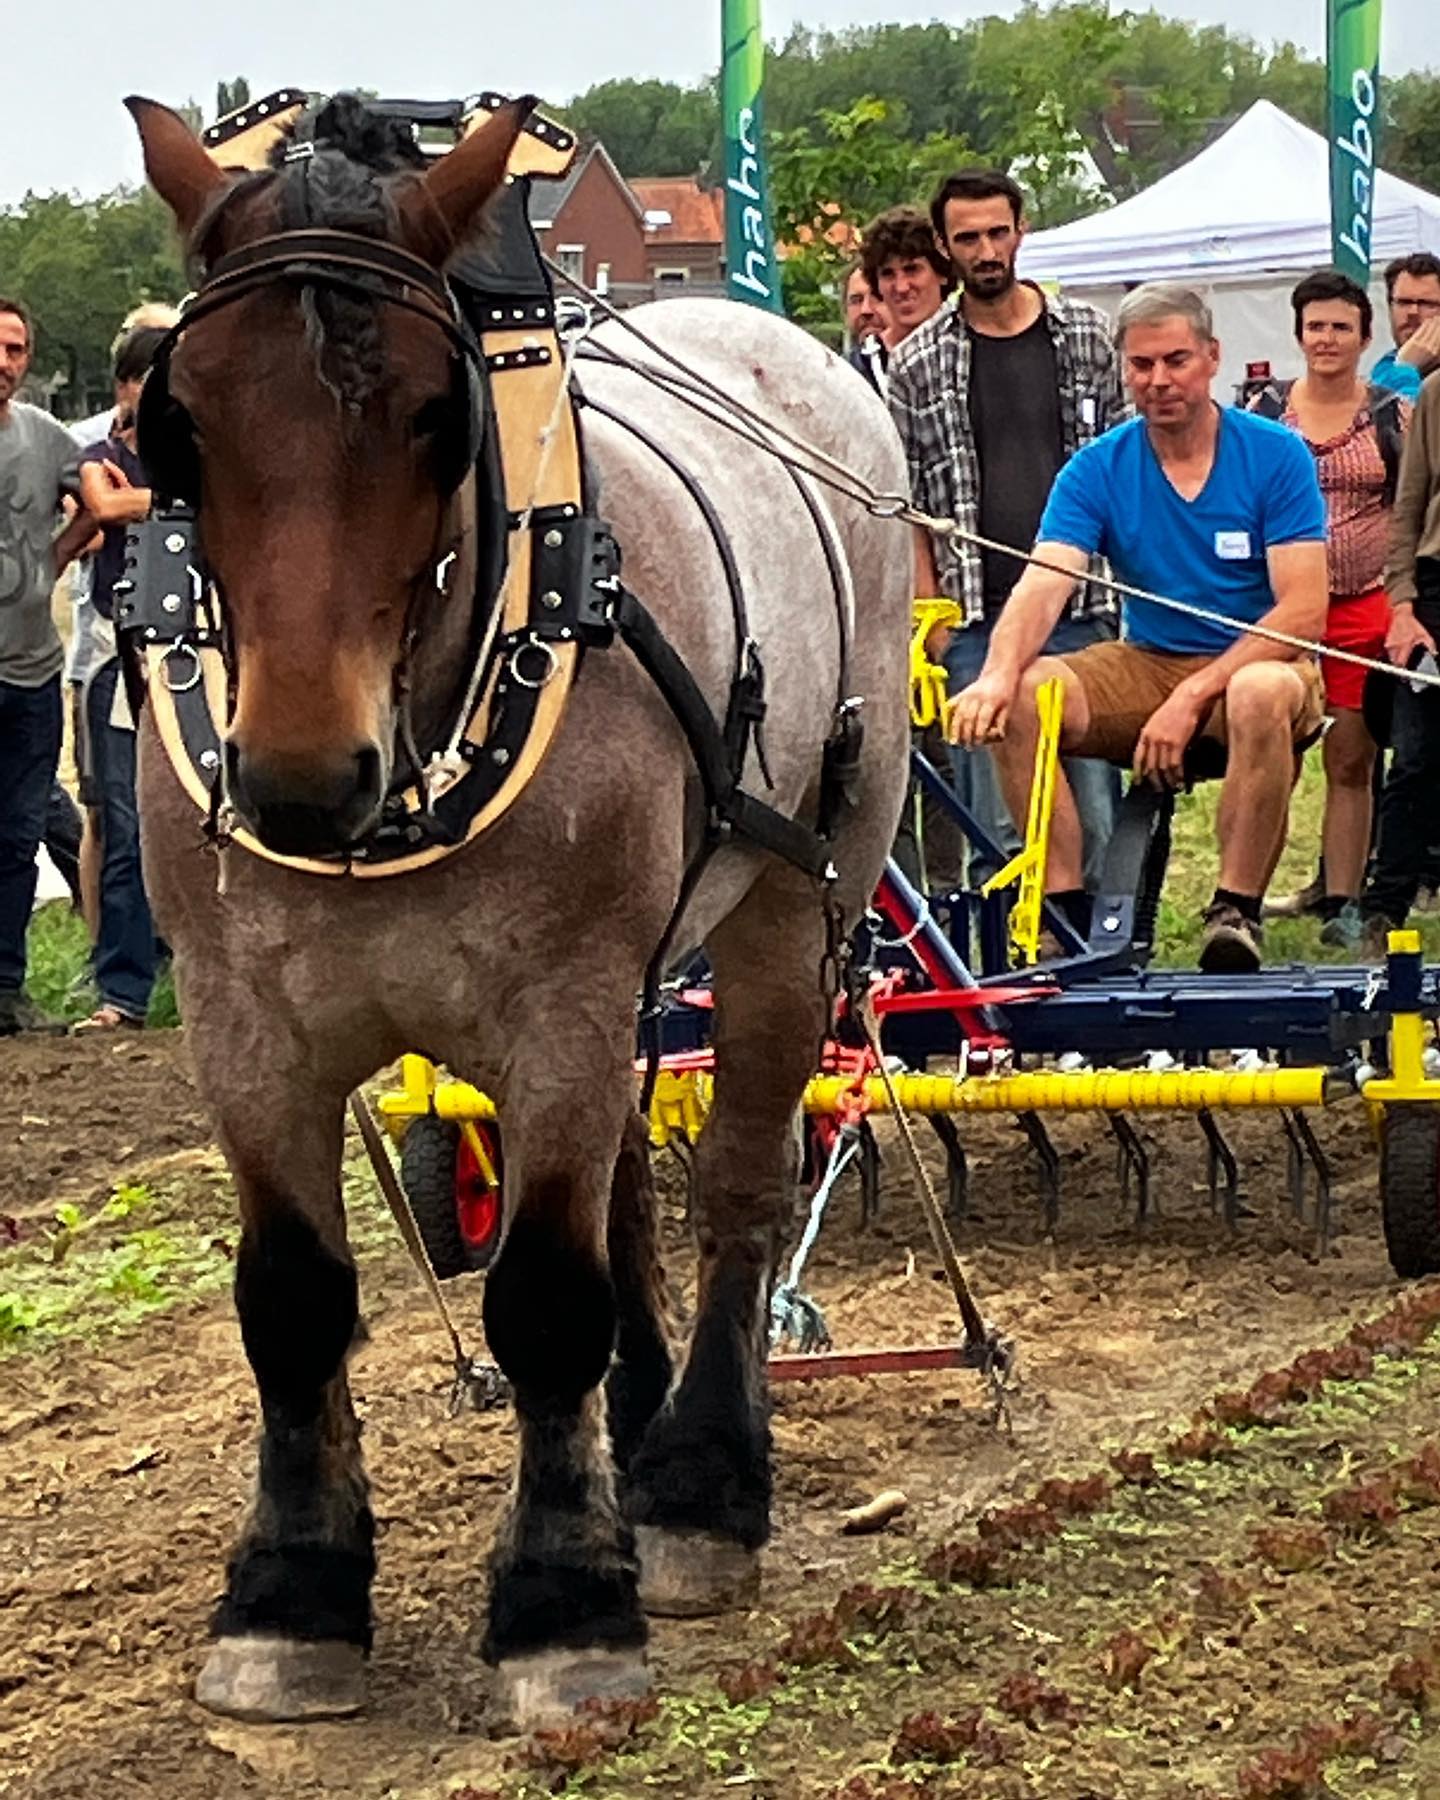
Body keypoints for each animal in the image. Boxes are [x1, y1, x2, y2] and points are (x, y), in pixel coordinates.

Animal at [126, 91, 910, 1720]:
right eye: (181, 421)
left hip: (794, 901)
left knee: (738, 1184)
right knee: (625, 1188)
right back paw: (637, 1428)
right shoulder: (244, 1026)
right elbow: (292, 1299)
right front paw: (290, 1596)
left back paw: (695, 1486)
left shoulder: (560, 1003)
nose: (300, 780)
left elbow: (544, 1297)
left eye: (440, 416)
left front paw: (564, 1600)